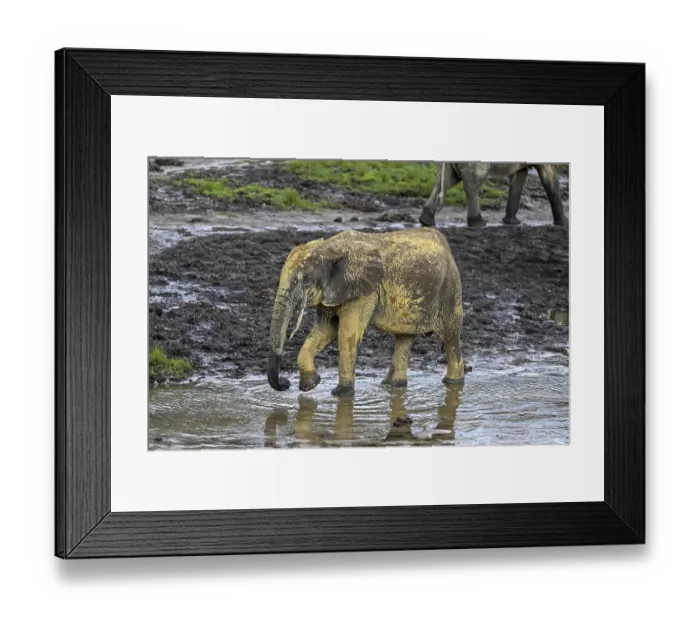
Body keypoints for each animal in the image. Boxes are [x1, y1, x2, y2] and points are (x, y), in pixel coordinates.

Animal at [267, 228, 467, 396]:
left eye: (306, 280)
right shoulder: (334, 290)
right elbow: (324, 331)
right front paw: (310, 385)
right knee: (404, 339)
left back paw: (452, 382)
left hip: (450, 289)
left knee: (450, 338)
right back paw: (392, 386)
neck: (329, 248)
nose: (285, 383)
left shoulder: (364, 291)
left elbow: (346, 333)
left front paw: (341, 394)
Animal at [418, 162, 567, 228]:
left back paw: (426, 222)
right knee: (472, 184)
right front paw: (563, 223)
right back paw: (479, 224)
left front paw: (512, 222)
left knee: (445, 181)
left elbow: (519, 177)